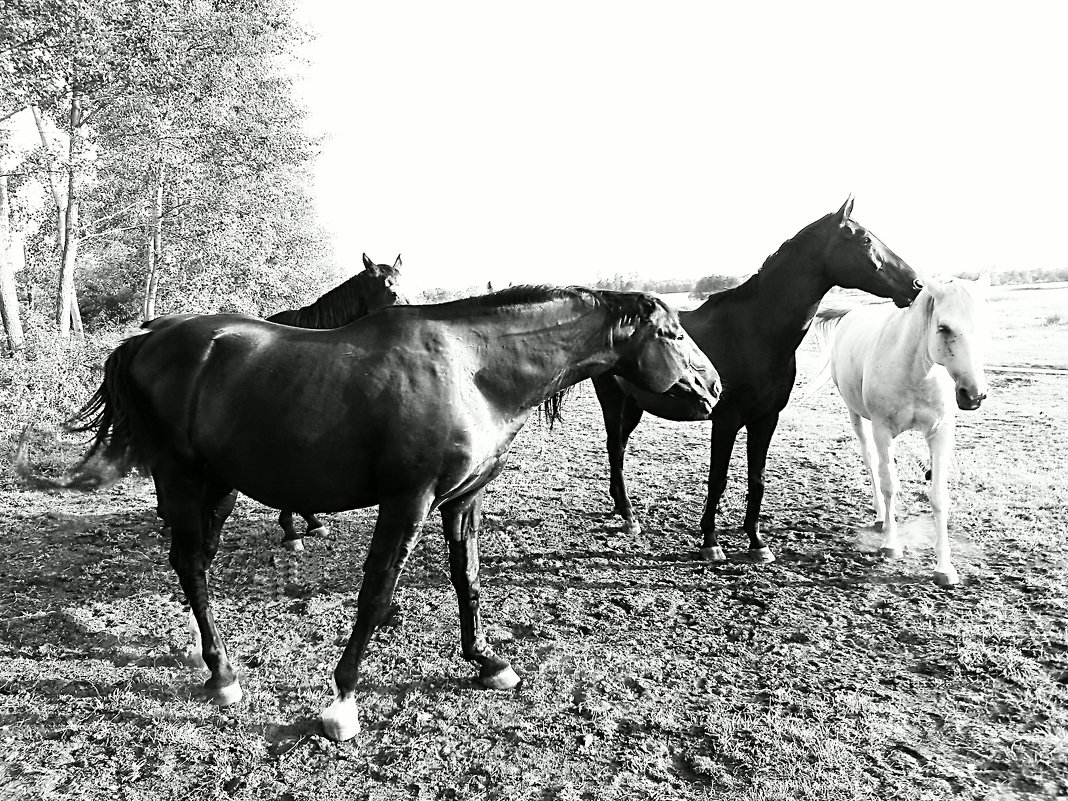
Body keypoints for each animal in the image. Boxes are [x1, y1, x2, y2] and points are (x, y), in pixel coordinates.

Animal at [33, 286, 717, 743]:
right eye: (673, 334)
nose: (712, 389)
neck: (472, 367)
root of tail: (147, 338)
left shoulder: (461, 500)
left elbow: (467, 578)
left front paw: (487, 661)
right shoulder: (407, 501)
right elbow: (377, 594)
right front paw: (341, 702)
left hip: (219, 485)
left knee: (194, 560)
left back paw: (215, 663)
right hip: (184, 478)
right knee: (191, 564)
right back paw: (223, 674)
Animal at [593, 199, 927, 563]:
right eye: (865, 240)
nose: (916, 284)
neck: (755, 331)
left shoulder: (766, 419)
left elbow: (758, 479)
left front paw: (756, 542)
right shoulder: (726, 419)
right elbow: (718, 479)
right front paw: (710, 541)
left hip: (634, 404)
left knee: (619, 447)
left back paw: (622, 510)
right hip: (612, 398)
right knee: (614, 447)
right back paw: (628, 515)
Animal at [815, 279, 991, 585]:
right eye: (943, 327)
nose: (974, 395)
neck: (916, 370)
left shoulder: (940, 433)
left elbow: (938, 496)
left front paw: (944, 568)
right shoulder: (882, 429)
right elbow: (889, 485)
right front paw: (890, 545)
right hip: (857, 418)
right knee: (871, 464)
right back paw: (880, 517)